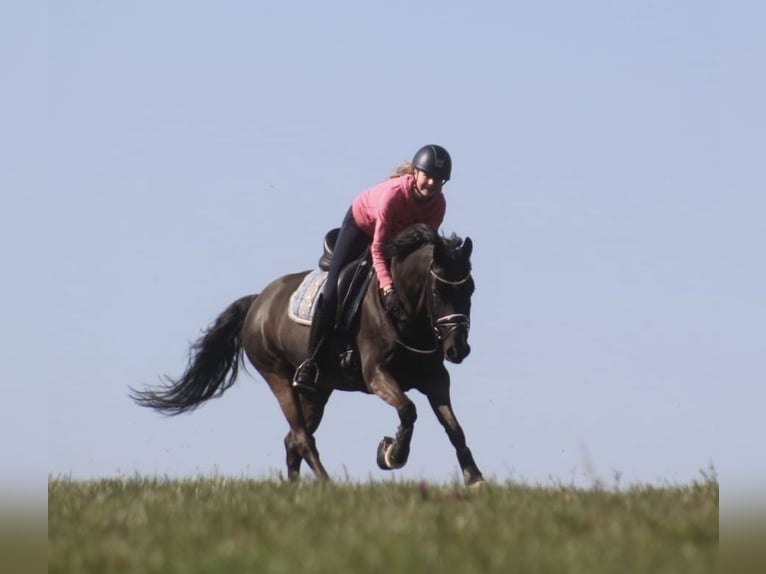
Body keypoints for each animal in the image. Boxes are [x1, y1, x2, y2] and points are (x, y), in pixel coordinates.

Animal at [128, 223, 484, 488]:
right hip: (278, 376)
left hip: (318, 388)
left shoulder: (435, 378)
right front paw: (391, 454)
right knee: (301, 437)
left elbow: (454, 427)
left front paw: (475, 478)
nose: (458, 349)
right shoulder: (377, 374)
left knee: (292, 440)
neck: (406, 314)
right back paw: (328, 485)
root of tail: (258, 302)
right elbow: (408, 410)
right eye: (438, 290)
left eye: (470, 289)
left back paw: (296, 489)